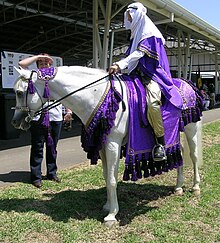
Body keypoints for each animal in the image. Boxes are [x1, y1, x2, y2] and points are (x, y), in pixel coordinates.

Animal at [10, 66, 203, 226]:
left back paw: (195, 187)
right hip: (174, 132)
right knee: (179, 153)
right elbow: (106, 176)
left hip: (191, 127)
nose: (16, 122)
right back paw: (178, 187)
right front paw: (108, 206)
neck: (97, 96)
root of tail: (187, 83)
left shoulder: (112, 144)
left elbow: (111, 179)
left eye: (19, 92)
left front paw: (111, 215)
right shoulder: (102, 145)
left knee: (193, 156)